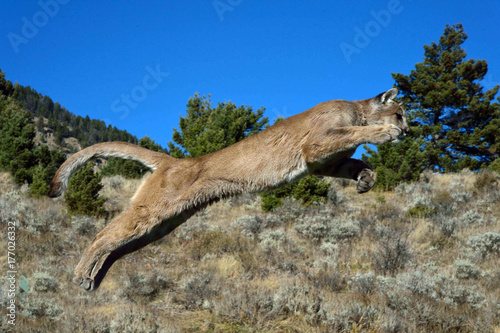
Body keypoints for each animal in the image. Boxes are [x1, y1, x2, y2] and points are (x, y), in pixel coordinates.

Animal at [49, 87, 410, 290]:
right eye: (400, 113)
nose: (408, 131)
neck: (357, 110)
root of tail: (173, 161)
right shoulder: (317, 145)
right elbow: (355, 135)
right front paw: (384, 134)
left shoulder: (325, 162)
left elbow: (356, 162)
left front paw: (367, 179)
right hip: (151, 212)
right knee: (103, 235)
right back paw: (81, 275)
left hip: (163, 225)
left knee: (118, 247)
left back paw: (96, 279)